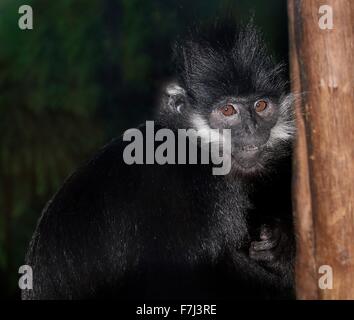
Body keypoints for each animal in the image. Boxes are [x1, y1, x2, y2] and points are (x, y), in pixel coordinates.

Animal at [22, 21, 296, 300]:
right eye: (228, 110)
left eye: (261, 106)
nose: (252, 128)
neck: (194, 146)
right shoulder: (193, 191)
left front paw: (281, 245)